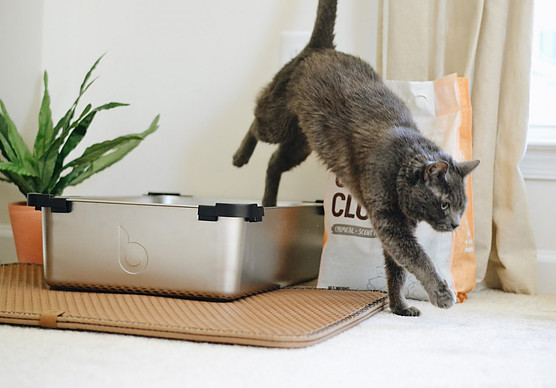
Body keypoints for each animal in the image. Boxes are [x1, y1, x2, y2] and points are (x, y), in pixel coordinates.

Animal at [232, 0, 480, 316]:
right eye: (445, 204)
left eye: (462, 207)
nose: (456, 224)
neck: (401, 167)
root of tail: (321, 47)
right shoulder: (390, 222)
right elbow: (417, 258)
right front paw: (441, 294)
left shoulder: (397, 227)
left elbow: (396, 270)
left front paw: (399, 307)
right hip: (278, 121)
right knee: (256, 122)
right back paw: (239, 156)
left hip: (302, 143)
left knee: (274, 161)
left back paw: (269, 200)